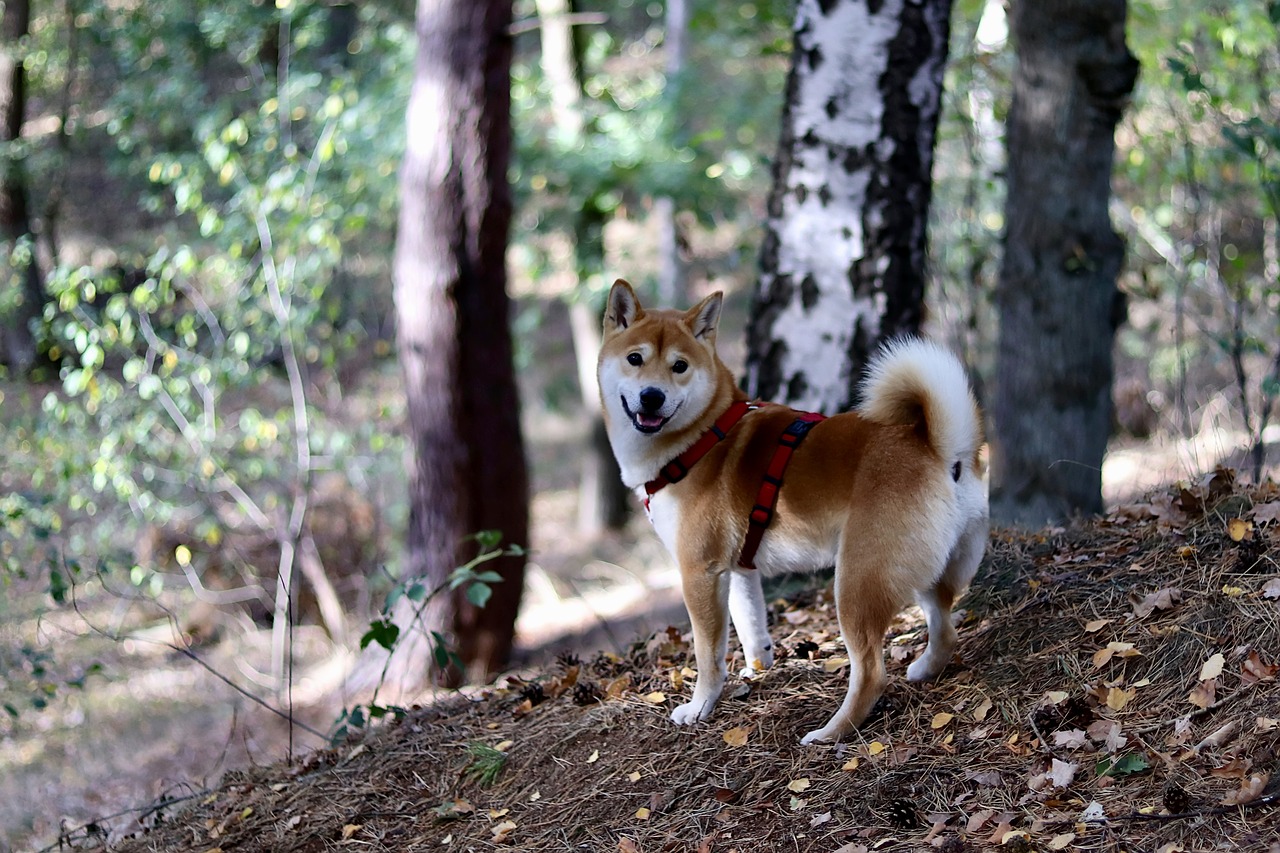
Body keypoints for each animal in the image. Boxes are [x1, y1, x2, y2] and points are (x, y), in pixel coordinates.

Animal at [599, 280, 988, 742]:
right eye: (635, 359)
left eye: (679, 367)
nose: (652, 396)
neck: (702, 437)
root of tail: (940, 449)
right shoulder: (737, 569)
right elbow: (750, 626)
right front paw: (757, 670)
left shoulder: (699, 572)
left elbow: (708, 654)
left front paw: (701, 707)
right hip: (927, 571)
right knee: (945, 630)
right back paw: (925, 669)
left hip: (855, 584)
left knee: (871, 674)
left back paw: (830, 733)